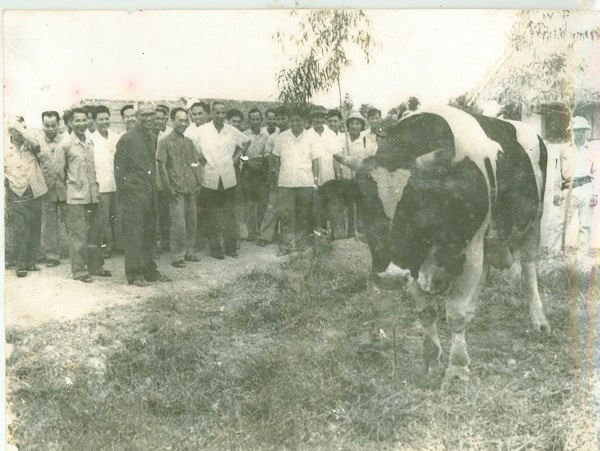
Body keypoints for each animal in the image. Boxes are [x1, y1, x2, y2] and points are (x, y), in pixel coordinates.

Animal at [336, 106, 552, 384]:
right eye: (364, 201)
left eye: (417, 202)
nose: (390, 278)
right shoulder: (413, 262)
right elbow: (426, 313)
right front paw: (431, 358)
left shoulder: (470, 250)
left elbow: (455, 314)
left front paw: (458, 368)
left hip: (534, 220)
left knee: (528, 268)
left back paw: (539, 320)